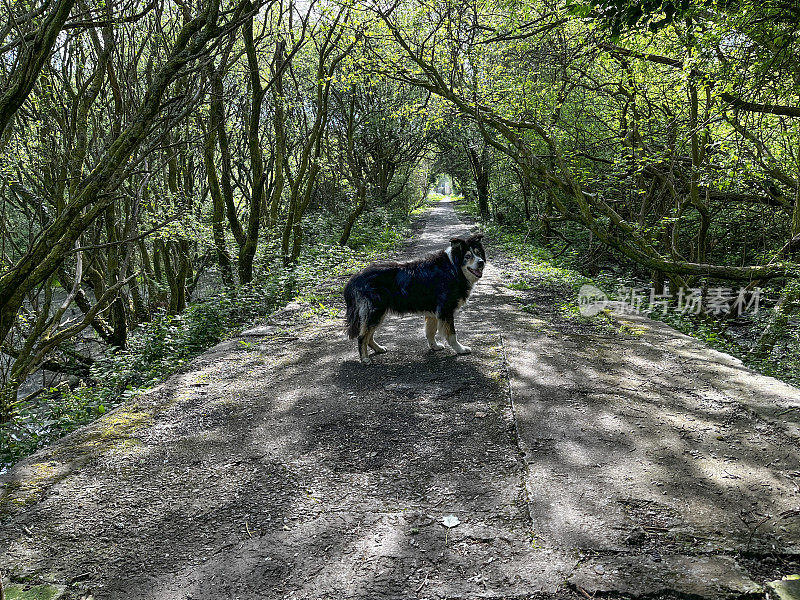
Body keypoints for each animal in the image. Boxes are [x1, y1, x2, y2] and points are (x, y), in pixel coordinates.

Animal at [342, 234, 484, 366]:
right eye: (467, 256)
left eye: (478, 253)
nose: (481, 262)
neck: (454, 268)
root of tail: (354, 278)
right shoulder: (445, 309)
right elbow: (452, 335)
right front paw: (460, 349)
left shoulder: (434, 312)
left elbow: (430, 332)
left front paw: (434, 346)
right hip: (374, 312)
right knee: (362, 336)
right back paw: (365, 358)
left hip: (378, 313)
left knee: (369, 335)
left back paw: (378, 348)